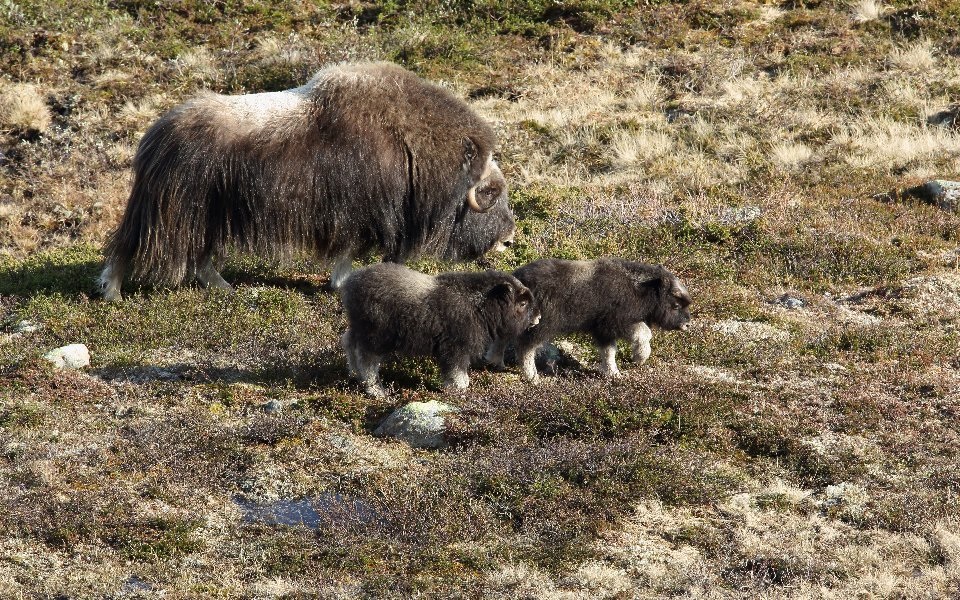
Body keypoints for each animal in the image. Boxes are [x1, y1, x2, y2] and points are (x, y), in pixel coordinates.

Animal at [99, 62, 516, 300]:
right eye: (493, 193)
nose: (509, 237)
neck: (412, 145)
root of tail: (156, 134)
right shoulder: (361, 214)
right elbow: (349, 251)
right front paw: (342, 284)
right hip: (170, 211)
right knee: (129, 245)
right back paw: (112, 293)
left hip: (210, 214)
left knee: (201, 257)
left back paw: (225, 288)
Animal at [340, 264, 540, 396]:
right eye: (522, 303)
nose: (538, 318)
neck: (480, 304)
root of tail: (351, 283)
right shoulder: (456, 347)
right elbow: (456, 368)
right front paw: (459, 387)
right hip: (376, 336)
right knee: (368, 360)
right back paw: (376, 390)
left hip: (358, 328)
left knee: (349, 343)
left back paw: (353, 373)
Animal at [488, 258, 688, 384]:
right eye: (676, 304)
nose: (687, 325)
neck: (640, 288)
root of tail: (519, 281)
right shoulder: (617, 321)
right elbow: (644, 332)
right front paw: (640, 357)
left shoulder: (603, 331)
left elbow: (609, 351)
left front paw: (613, 373)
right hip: (539, 325)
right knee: (526, 348)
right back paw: (533, 377)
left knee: (502, 339)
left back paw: (496, 362)